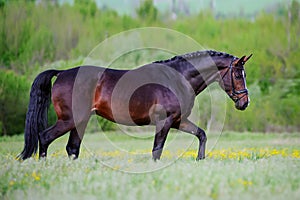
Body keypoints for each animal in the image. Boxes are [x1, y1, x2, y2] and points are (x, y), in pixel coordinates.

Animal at [18, 50, 252, 161]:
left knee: (72, 148)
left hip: (80, 121)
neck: (177, 78)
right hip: (68, 120)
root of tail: (62, 73)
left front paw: (199, 159)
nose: (244, 103)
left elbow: (201, 134)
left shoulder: (178, 120)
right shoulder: (165, 122)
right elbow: (157, 150)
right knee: (45, 138)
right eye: (238, 75)